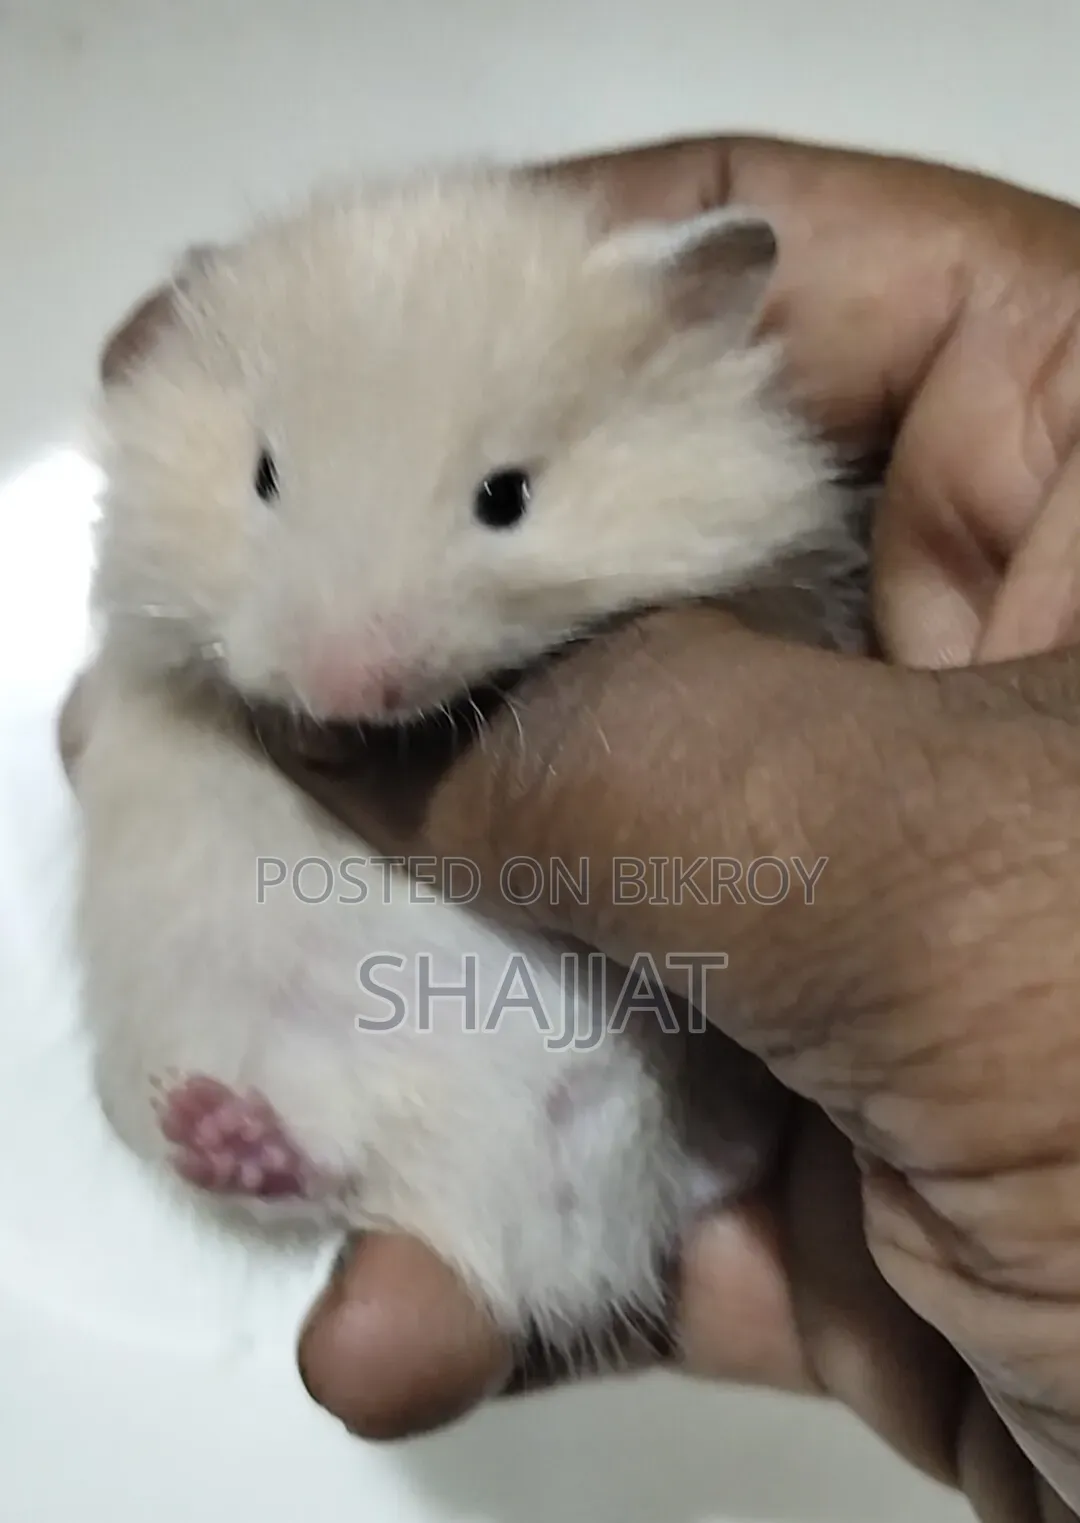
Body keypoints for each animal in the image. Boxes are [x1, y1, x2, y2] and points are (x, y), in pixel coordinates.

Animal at [69, 163, 872, 1363]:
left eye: (507, 497)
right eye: (264, 476)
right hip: (186, 1051)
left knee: (712, 1151)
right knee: (304, 1167)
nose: (341, 692)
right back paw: (225, 1131)